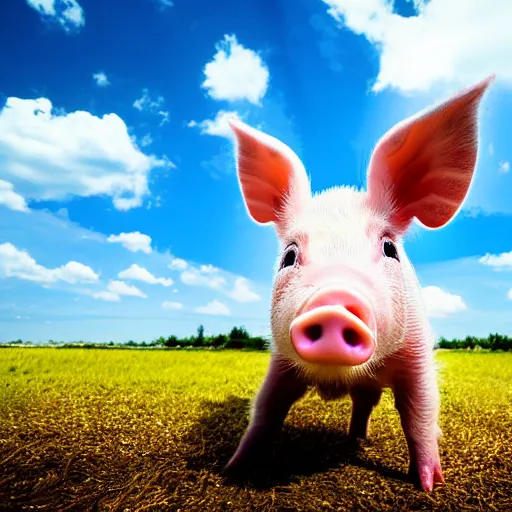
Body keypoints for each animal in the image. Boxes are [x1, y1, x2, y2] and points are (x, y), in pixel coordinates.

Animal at [222, 75, 494, 492]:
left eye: (389, 248)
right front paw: (233, 469)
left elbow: (419, 414)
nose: (334, 300)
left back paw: (358, 440)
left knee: (367, 403)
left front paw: (429, 486)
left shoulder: (417, 353)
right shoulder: (280, 360)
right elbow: (267, 409)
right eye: (289, 256)